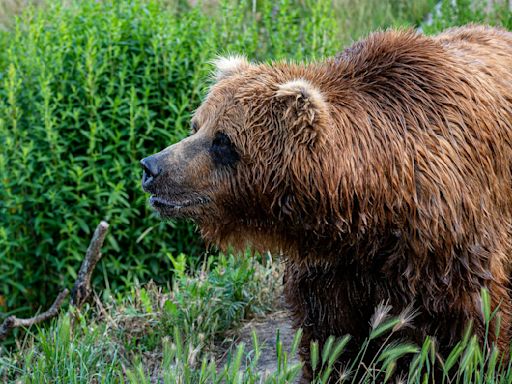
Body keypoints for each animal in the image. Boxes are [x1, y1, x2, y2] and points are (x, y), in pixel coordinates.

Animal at [142, 25, 512, 382]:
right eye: (196, 125)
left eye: (223, 140)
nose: (151, 167)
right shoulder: (332, 267)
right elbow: (331, 338)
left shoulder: (447, 243)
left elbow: (477, 325)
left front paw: (482, 365)